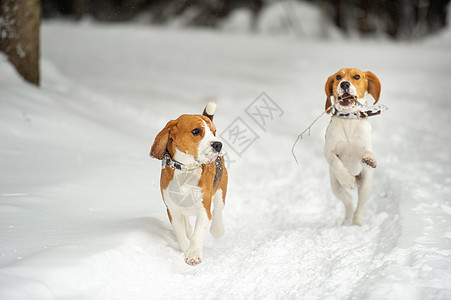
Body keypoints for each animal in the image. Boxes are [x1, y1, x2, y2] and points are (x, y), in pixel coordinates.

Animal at [151, 102, 228, 266]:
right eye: (196, 131)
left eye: (214, 132)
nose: (218, 144)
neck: (186, 170)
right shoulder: (172, 209)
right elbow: (180, 231)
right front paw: (185, 247)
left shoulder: (204, 209)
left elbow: (198, 233)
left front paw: (193, 254)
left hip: (221, 188)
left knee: (218, 209)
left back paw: (217, 230)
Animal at [324, 68, 382, 225]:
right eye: (338, 77)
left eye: (357, 76)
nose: (344, 84)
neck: (348, 120)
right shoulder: (328, 150)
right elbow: (335, 162)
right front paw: (348, 179)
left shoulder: (365, 146)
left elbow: (368, 153)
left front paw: (370, 161)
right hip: (335, 186)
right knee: (348, 200)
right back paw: (346, 220)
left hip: (365, 185)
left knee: (359, 206)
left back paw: (356, 223)